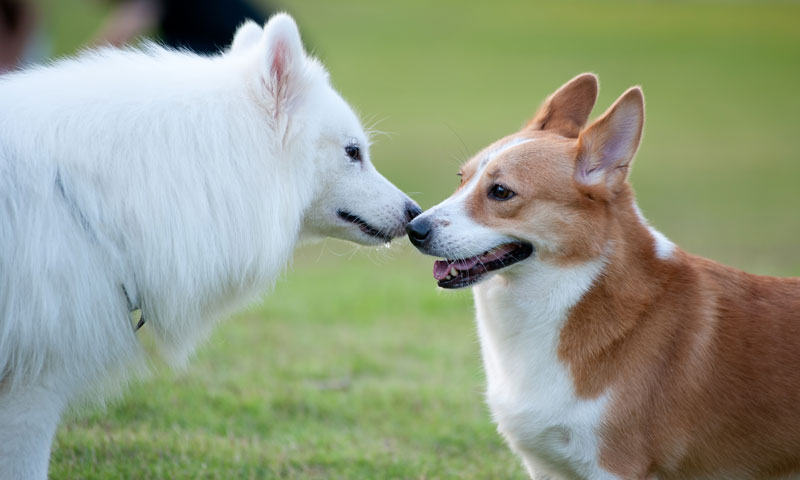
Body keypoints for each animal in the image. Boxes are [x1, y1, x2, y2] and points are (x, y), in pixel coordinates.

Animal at [410, 73, 800, 478]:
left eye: (500, 191)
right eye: (461, 178)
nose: (413, 228)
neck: (570, 292)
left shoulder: (615, 466)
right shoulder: (545, 466)